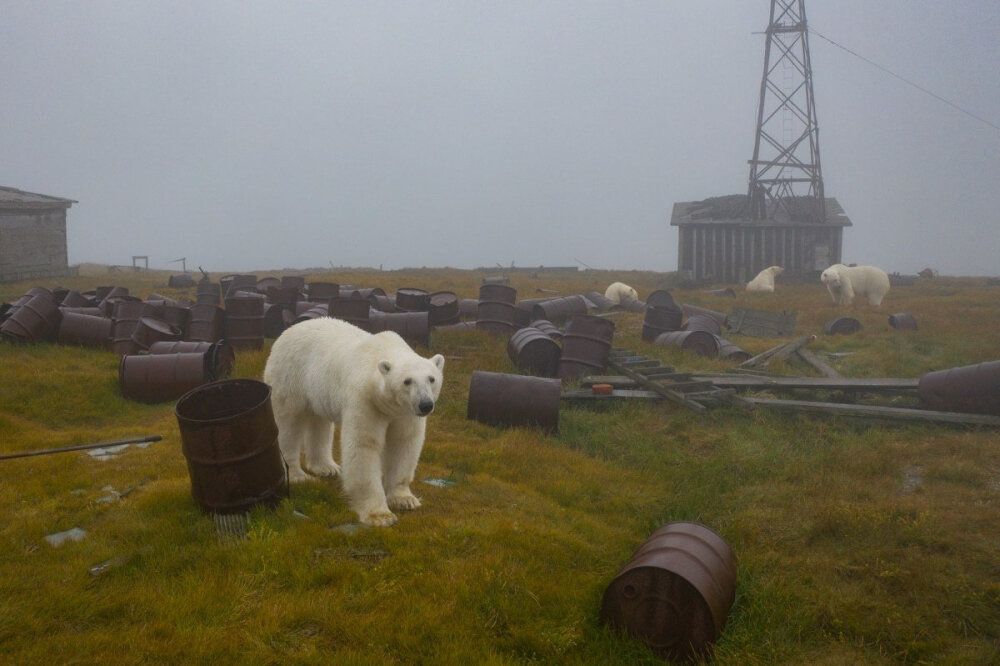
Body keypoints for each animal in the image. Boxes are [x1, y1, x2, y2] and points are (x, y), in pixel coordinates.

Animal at [264, 316, 444, 524]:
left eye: (431, 379)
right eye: (407, 381)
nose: (425, 405)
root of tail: (289, 330)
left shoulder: (405, 412)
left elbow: (403, 443)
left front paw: (404, 499)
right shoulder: (365, 400)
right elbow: (364, 445)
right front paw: (380, 515)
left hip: (318, 388)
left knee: (319, 421)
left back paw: (327, 467)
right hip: (289, 376)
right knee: (288, 423)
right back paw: (297, 475)